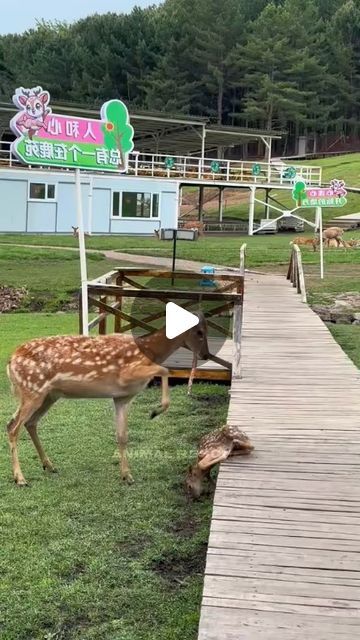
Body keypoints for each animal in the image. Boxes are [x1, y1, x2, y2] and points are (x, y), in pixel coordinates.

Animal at [5, 312, 210, 488]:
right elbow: (165, 369)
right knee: (13, 427)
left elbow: (122, 435)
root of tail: (10, 361)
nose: (206, 355)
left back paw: (49, 465)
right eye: (199, 331)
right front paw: (155, 411)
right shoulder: (125, 374)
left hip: (48, 395)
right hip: (33, 390)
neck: (149, 351)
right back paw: (20, 478)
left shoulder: (122, 397)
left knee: (28, 423)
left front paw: (127, 475)